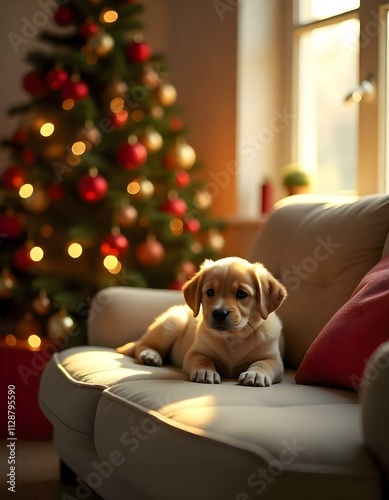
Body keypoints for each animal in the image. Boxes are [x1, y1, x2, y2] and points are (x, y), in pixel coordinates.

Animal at [115, 258, 284, 386]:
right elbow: (203, 359)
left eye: (242, 294)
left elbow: (264, 363)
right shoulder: (195, 352)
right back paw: (151, 355)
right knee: (143, 344)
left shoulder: (274, 359)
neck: (232, 339)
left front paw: (256, 374)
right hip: (171, 324)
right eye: (210, 292)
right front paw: (206, 371)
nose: (219, 313)